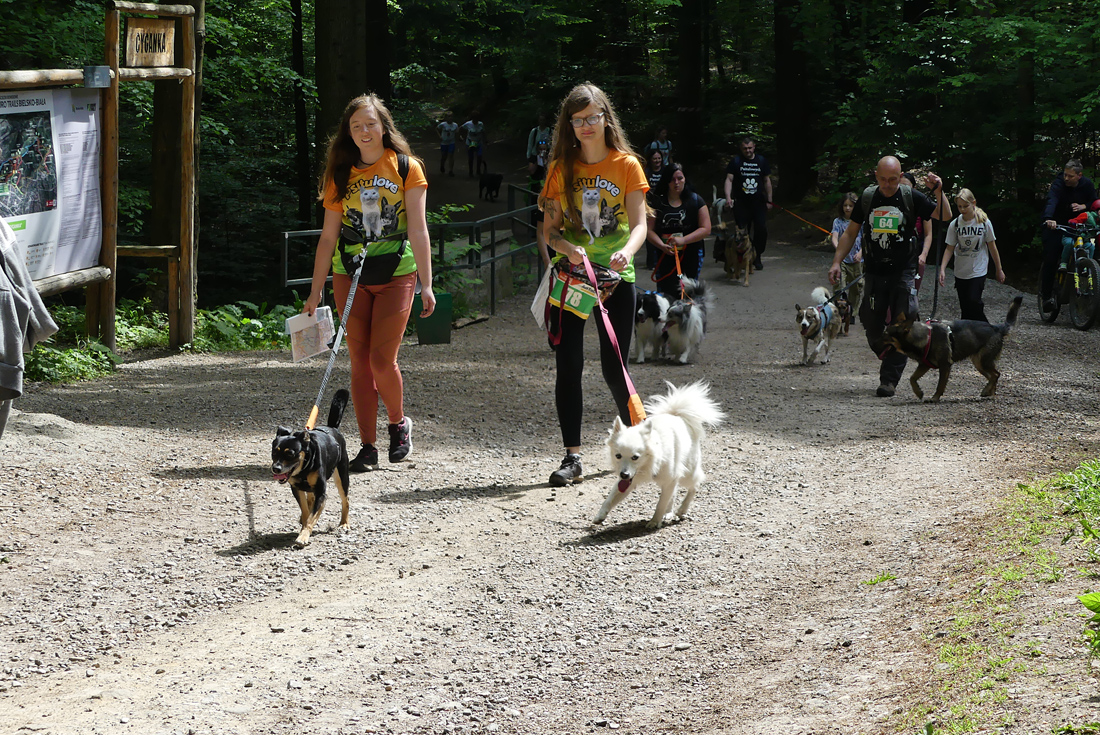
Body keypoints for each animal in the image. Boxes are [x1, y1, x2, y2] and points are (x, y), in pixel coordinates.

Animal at [271, 390, 351, 548]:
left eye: (290, 453)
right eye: (274, 452)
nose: (276, 468)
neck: (304, 469)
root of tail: (333, 429)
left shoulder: (321, 493)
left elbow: (311, 517)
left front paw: (303, 537)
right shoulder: (296, 488)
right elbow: (306, 510)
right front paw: (304, 523)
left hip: (342, 477)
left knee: (346, 500)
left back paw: (344, 523)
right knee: (310, 500)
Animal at [595, 381, 725, 529]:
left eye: (635, 457)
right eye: (618, 456)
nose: (624, 474)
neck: (650, 462)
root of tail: (677, 415)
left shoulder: (669, 479)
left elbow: (661, 504)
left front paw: (654, 521)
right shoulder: (630, 481)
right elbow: (610, 498)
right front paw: (600, 516)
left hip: (687, 473)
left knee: (695, 485)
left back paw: (682, 509)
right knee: (674, 492)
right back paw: (669, 513)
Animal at [883, 296, 1023, 402]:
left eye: (886, 335)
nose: (876, 339)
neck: (926, 336)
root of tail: (997, 328)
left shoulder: (945, 365)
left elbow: (940, 385)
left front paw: (934, 398)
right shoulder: (924, 365)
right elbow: (912, 378)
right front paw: (918, 392)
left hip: (982, 361)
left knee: (996, 375)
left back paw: (987, 391)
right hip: (979, 363)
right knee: (993, 376)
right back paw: (989, 392)